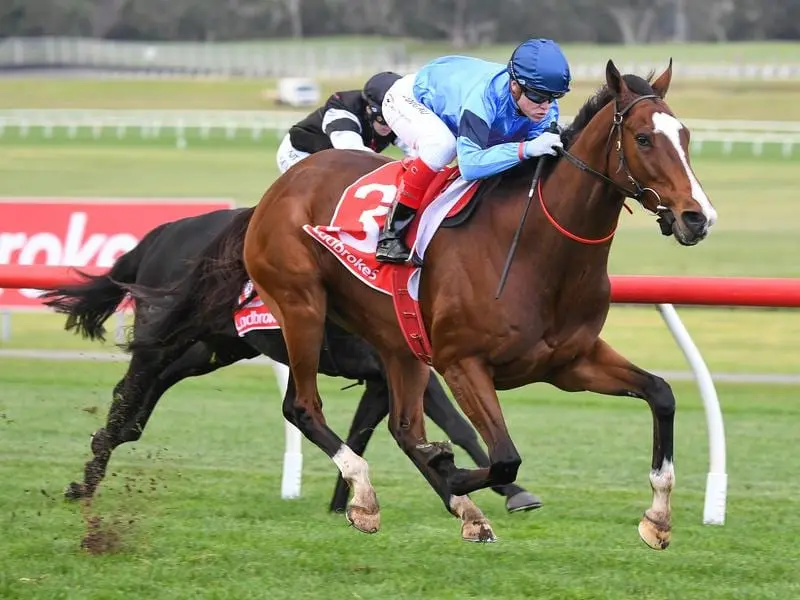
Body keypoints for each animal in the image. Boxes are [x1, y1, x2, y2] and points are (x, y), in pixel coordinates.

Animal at [45, 209, 544, 512]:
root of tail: (164, 232)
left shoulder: (384, 375)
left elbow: (366, 431)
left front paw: (344, 502)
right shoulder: (403, 366)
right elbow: (456, 425)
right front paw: (509, 490)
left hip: (213, 346)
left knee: (147, 395)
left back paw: (96, 461)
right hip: (169, 332)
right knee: (131, 389)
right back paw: (89, 476)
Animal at [241, 62, 716, 548]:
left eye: (685, 135)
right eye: (643, 138)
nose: (697, 218)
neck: (537, 252)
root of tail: (287, 182)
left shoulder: (571, 362)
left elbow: (661, 393)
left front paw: (658, 516)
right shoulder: (462, 362)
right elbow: (504, 456)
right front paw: (451, 469)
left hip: (398, 341)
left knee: (404, 427)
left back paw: (455, 509)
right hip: (301, 306)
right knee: (302, 406)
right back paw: (366, 494)